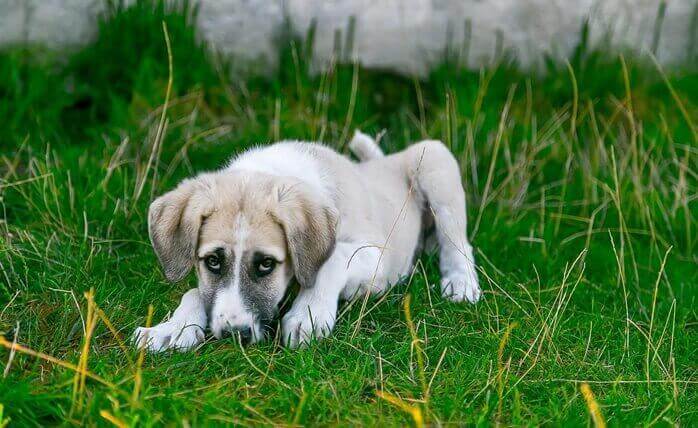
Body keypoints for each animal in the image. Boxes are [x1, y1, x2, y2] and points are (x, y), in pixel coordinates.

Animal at [131, 131, 478, 352]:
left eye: (266, 264)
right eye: (213, 261)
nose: (234, 335)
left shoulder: (377, 255)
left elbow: (333, 259)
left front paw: (308, 315)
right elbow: (194, 291)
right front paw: (171, 328)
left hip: (433, 159)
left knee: (458, 241)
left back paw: (461, 283)